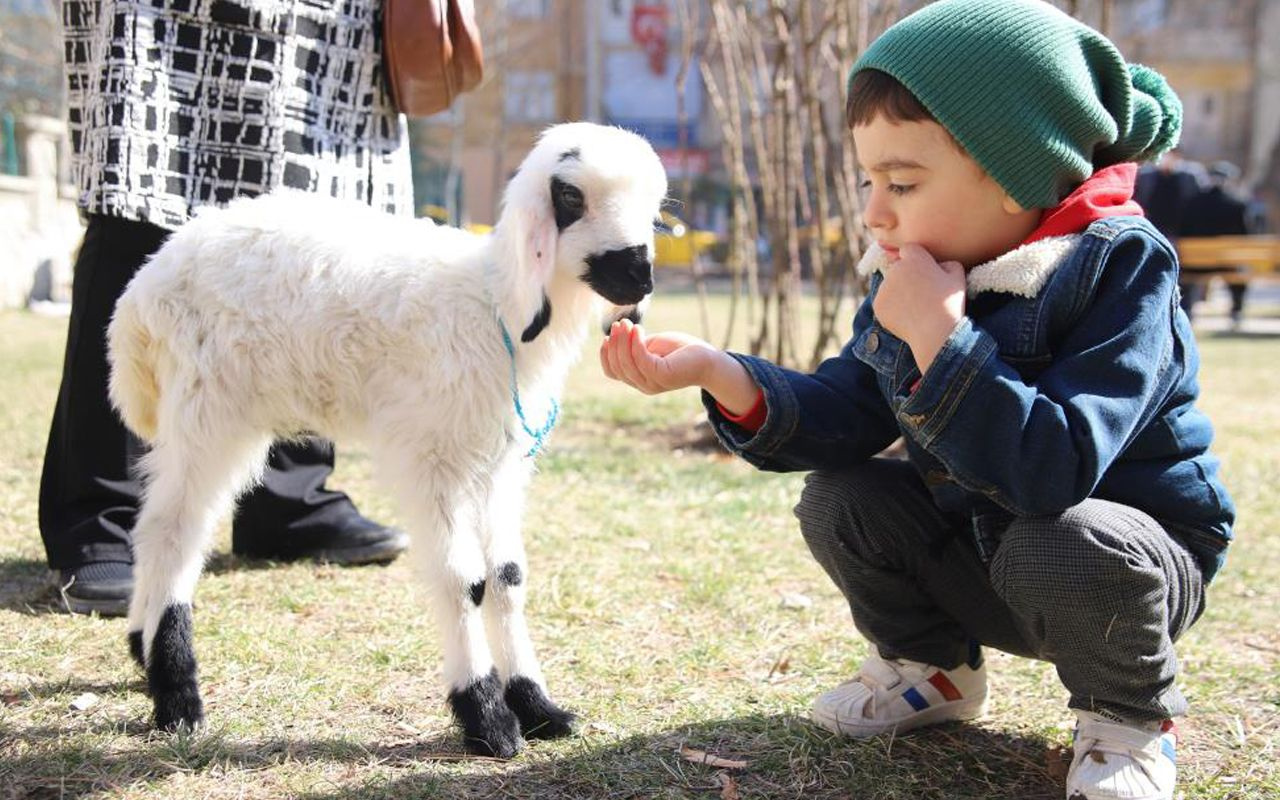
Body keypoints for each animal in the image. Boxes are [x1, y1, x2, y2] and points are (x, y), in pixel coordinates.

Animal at [107, 120, 670, 752]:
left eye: (656, 210)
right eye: (571, 196)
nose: (639, 276)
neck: (491, 303)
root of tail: (143, 290)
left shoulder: (499, 464)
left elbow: (507, 578)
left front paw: (539, 708)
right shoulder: (430, 455)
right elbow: (465, 581)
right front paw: (486, 718)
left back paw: (142, 650)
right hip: (209, 408)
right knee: (171, 535)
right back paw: (177, 698)